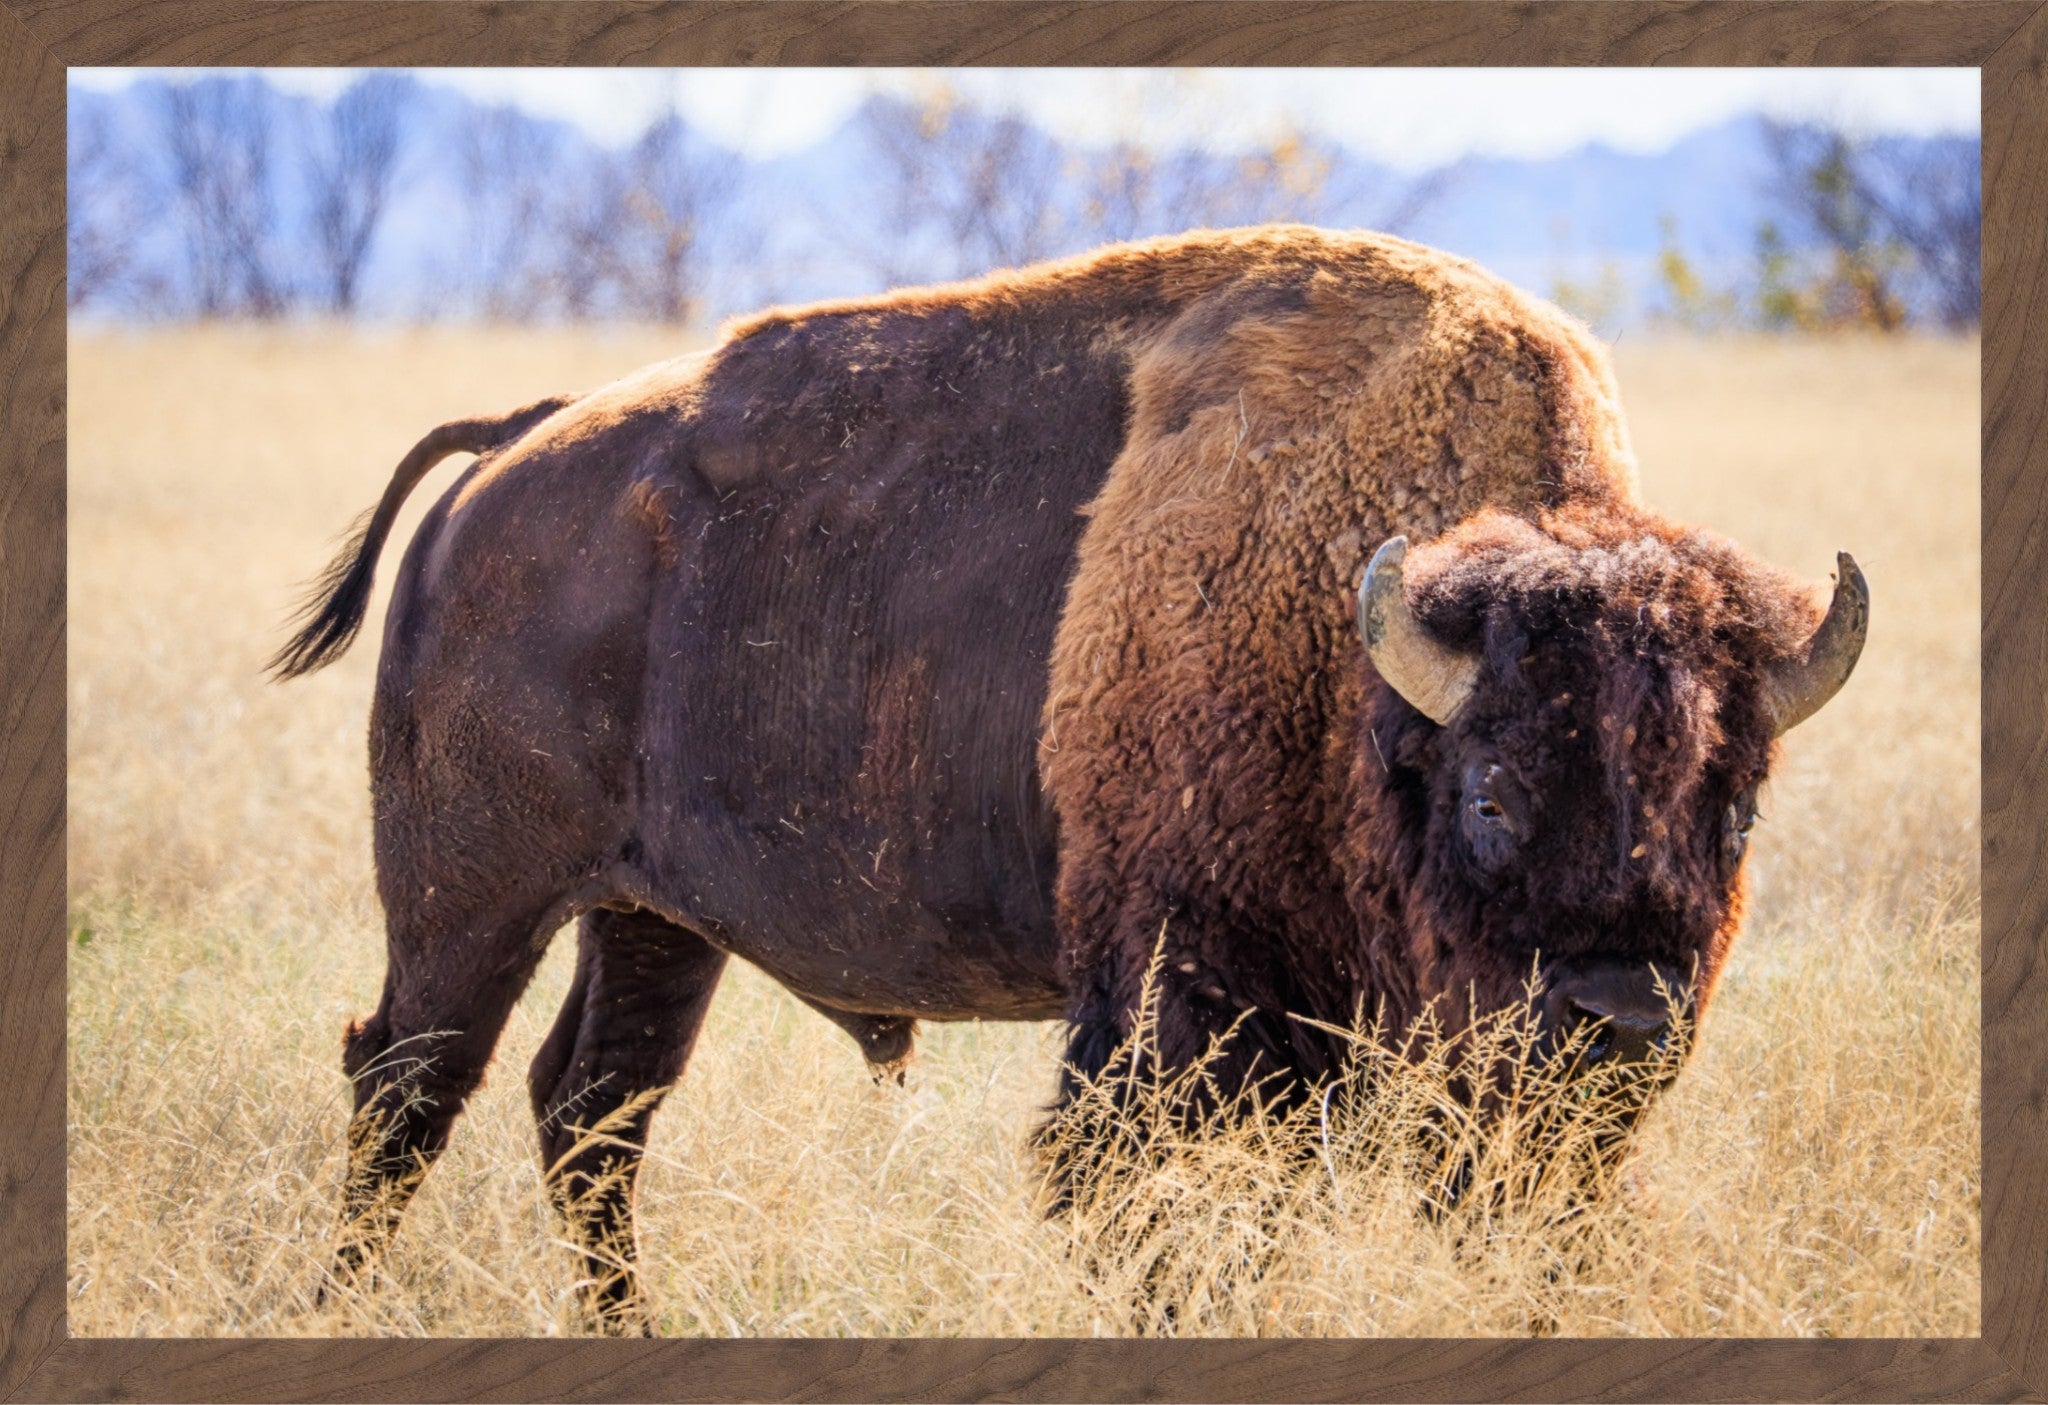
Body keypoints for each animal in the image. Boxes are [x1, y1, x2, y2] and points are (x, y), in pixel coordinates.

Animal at [275, 226, 1865, 1325]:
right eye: (1489, 794)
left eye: (1734, 805)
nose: (1621, 1018)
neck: (1350, 657)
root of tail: (511, 453)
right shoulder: (1179, 1014)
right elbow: (1153, 1213)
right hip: (470, 898)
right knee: (408, 1088)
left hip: (652, 918)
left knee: (591, 1110)